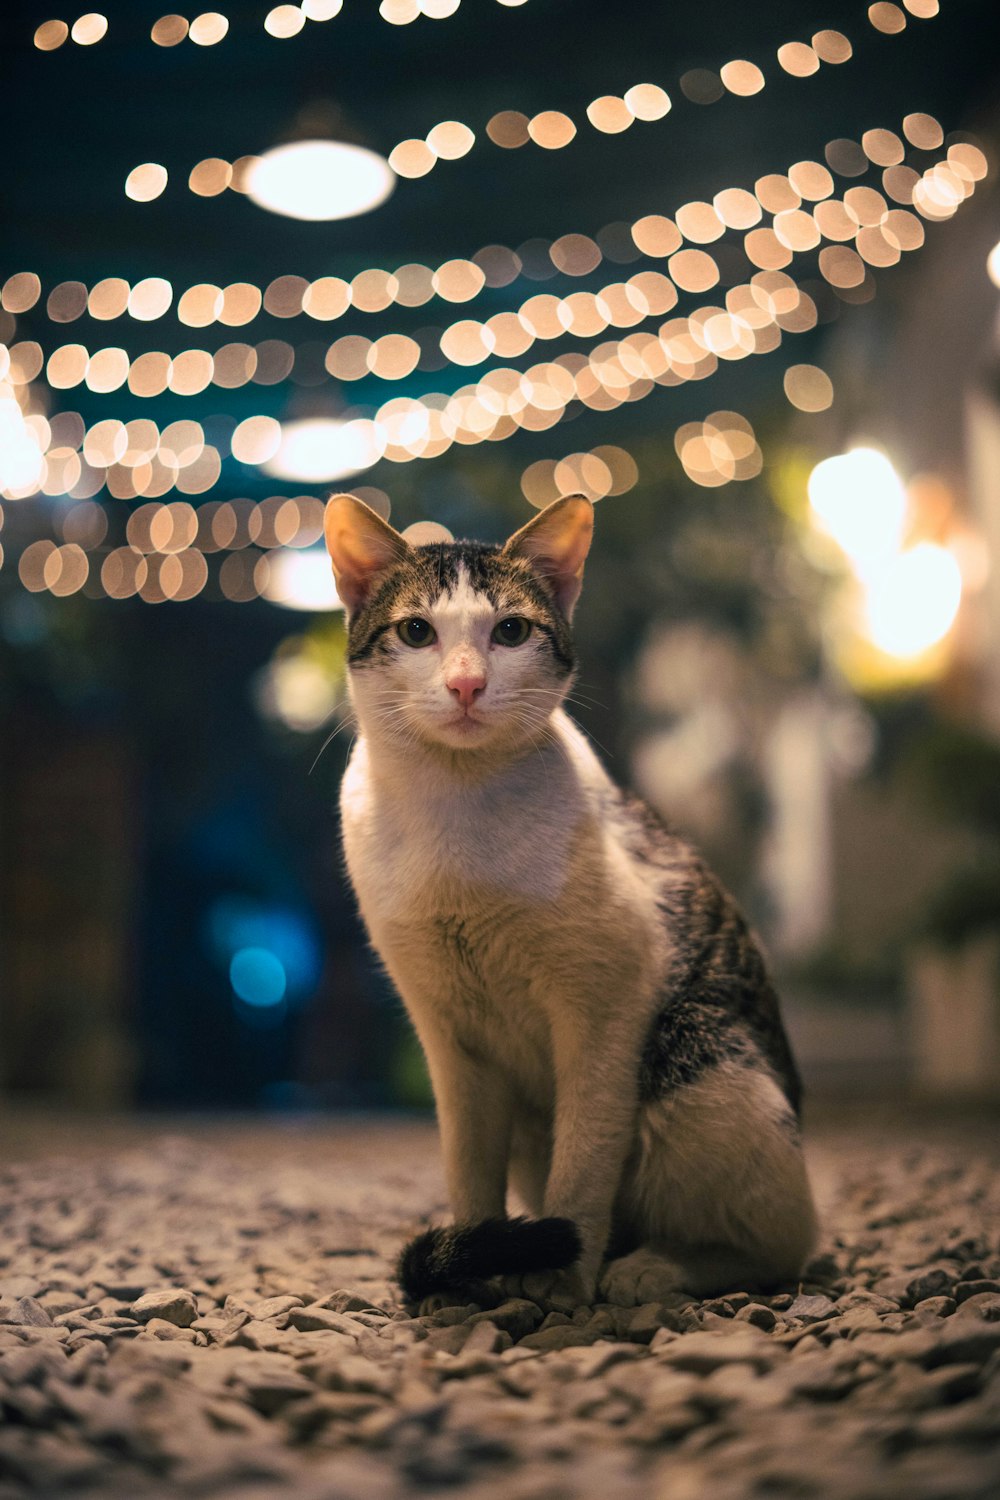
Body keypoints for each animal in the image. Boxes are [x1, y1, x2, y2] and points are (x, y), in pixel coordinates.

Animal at [325, 495, 815, 1314]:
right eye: (417, 632)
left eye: (511, 631)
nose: (466, 684)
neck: (456, 809)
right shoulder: (447, 1036)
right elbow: (468, 1171)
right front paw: (468, 1267)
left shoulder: (605, 1008)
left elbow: (584, 1163)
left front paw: (559, 1277)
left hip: (700, 1059)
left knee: (786, 1241)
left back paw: (656, 1267)